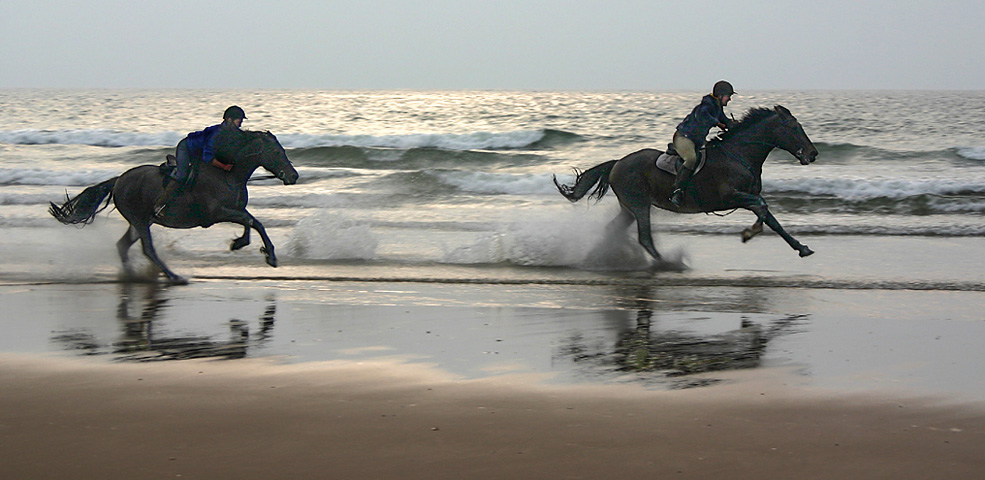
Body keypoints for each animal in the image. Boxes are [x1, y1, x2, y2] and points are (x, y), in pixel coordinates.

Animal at [49, 129, 300, 284]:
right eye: (277, 152)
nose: (294, 176)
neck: (229, 174)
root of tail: (118, 180)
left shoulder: (234, 209)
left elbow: (252, 223)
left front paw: (242, 245)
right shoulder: (217, 212)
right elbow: (253, 222)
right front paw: (270, 256)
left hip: (140, 220)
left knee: (123, 245)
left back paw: (132, 275)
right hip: (140, 220)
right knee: (148, 249)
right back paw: (173, 277)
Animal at [552, 104, 816, 262]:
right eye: (794, 128)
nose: (813, 154)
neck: (739, 155)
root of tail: (617, 163)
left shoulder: (746, 197)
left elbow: (771, 219)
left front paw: (801, 248)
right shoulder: (731, 196)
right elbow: (763, 208)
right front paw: (749, 233)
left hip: (629, 207)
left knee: (614, 229)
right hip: (639, 205)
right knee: (644, 237)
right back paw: (665, 263)